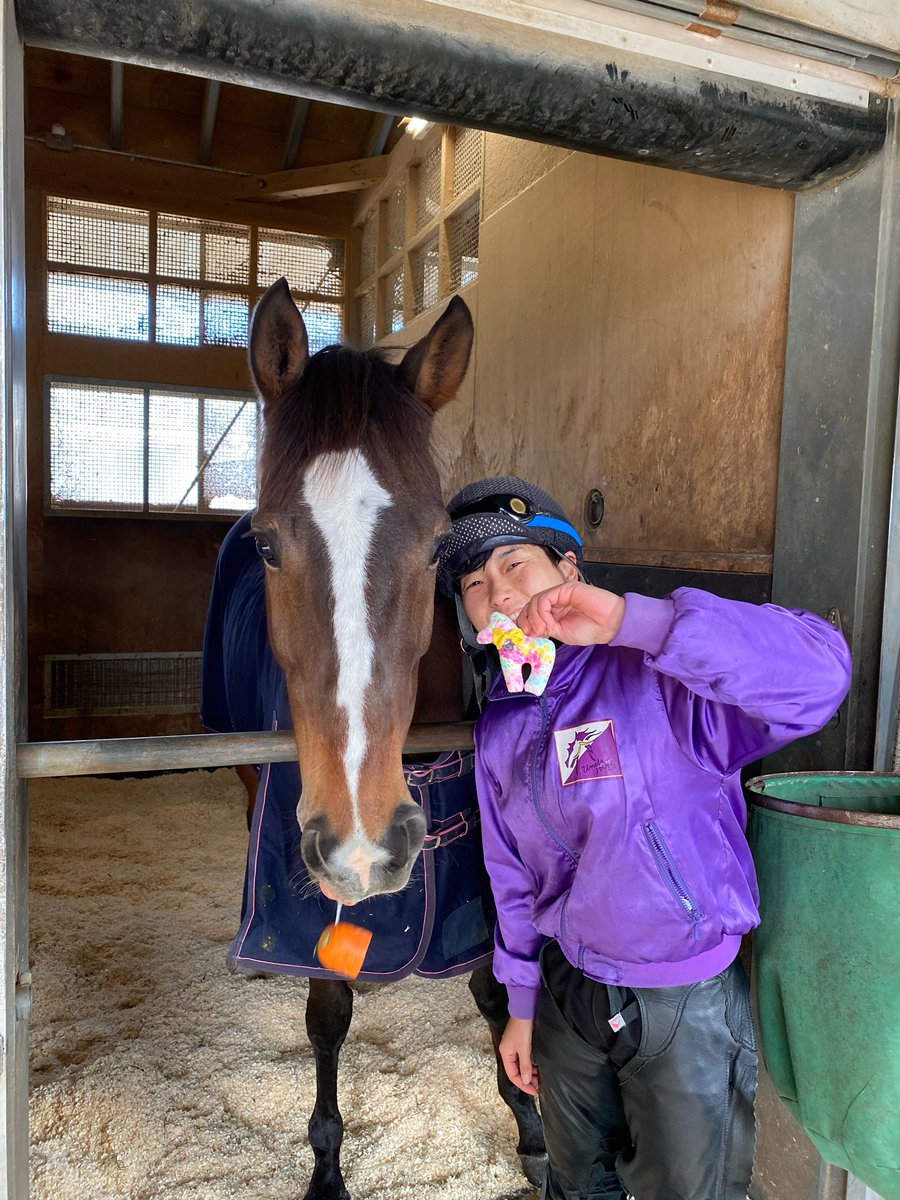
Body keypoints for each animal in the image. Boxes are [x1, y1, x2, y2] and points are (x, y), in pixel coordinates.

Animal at [202, 280, 542, 1200]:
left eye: (434, 545)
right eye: (267, 543)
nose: (367, 842)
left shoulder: (472, 878)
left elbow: (496, 992)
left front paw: (534, 1134)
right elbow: (328, 1012)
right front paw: (326, 1167)